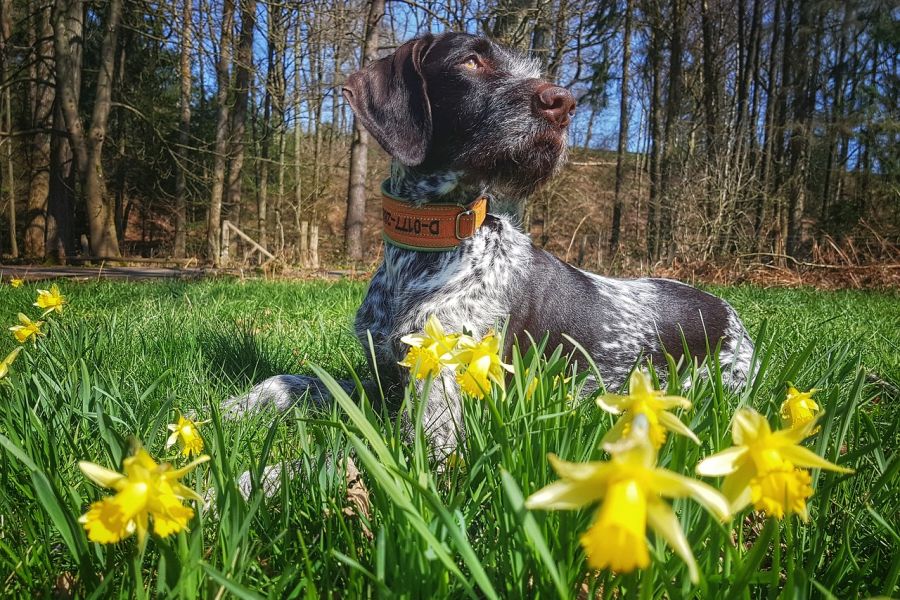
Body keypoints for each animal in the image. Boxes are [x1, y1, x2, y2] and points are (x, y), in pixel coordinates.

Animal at [223, 34, 752, 454]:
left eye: (534, 70)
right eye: (471, 61)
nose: (563, 103)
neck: (422, 255)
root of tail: (730, 312)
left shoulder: (437, 425)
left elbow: (326, 463)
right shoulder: (385, 378)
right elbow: (294, 380)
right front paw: (235, 407)